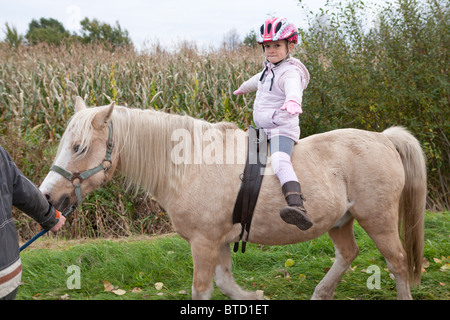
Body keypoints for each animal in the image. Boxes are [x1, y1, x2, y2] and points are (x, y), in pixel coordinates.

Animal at [40, 97, 428, 300]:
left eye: (79, 147)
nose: (48, 196)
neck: (188, 164)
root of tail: (384, 138)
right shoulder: (220, 240)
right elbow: (226, 283)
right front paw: (254, 297)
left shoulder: (204, 243)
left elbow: (202, 289)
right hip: (339, 220)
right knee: (348, 253)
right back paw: (321, 292)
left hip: (377, 218)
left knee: (396, 261)